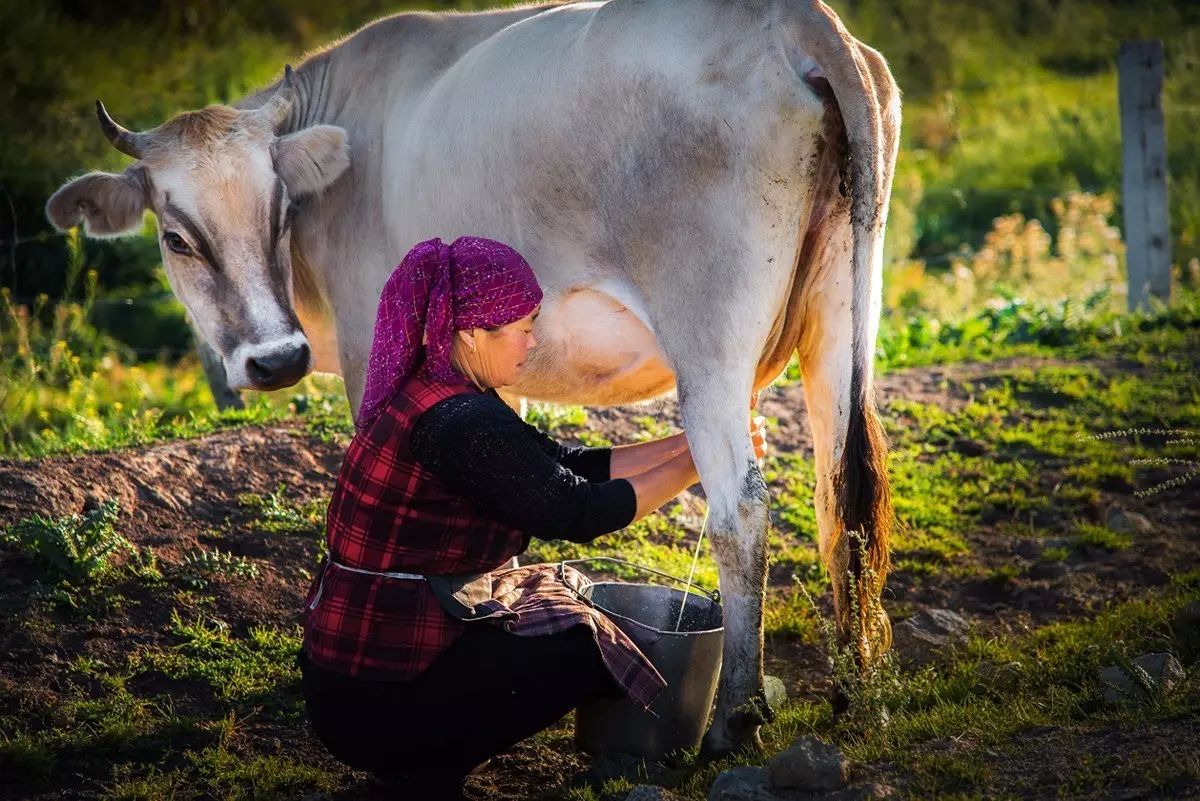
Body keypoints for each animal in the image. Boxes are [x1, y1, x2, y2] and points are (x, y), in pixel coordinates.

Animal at [44, 0, 902, 753]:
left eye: (283, 208)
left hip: (710, 338)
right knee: (841, 490)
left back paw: (735, 721)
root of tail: (793, 16)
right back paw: (857, 689)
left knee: (742, 509)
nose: (276, 358)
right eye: (177, 236)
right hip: (841, 312)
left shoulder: (370, 348)